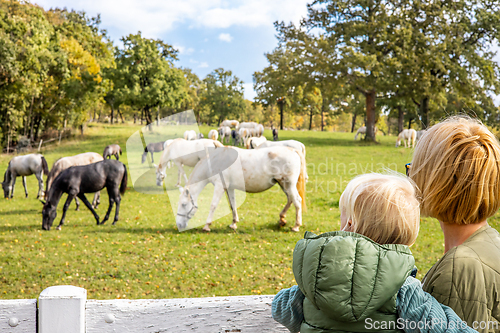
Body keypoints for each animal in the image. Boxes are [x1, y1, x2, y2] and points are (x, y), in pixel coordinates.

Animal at [176, 147, 308, 232]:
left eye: (183, 204)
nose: (179, 225)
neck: (216, 161)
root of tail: (293, 150)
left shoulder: (219, 186)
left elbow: (213, 205)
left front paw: (207, 225)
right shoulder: (229, 188)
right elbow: (232, 205)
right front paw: (234, 224)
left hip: (289, 184)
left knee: (297, 201)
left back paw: (296, 226)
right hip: (283, 184)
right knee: (290, 199)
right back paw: (282, 220)